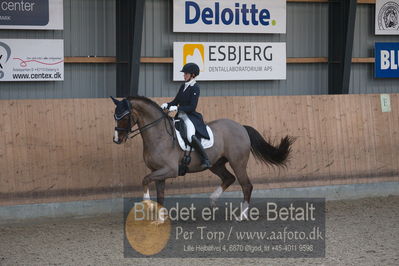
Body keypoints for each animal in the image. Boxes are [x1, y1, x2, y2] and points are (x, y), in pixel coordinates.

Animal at [111, 96, 296, 219]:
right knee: (229, 178)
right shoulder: (158, 172)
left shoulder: (170, 170)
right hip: (216, 164)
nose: (117, 139)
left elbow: (144, 179)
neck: (159, 135)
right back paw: (213, 200)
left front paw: (146, 203)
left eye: (125, 116)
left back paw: (241, 215)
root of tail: (241, 127)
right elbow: (160, 194)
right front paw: (161, 218)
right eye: (115, 116)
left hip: (238, 162)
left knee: (246, 185)